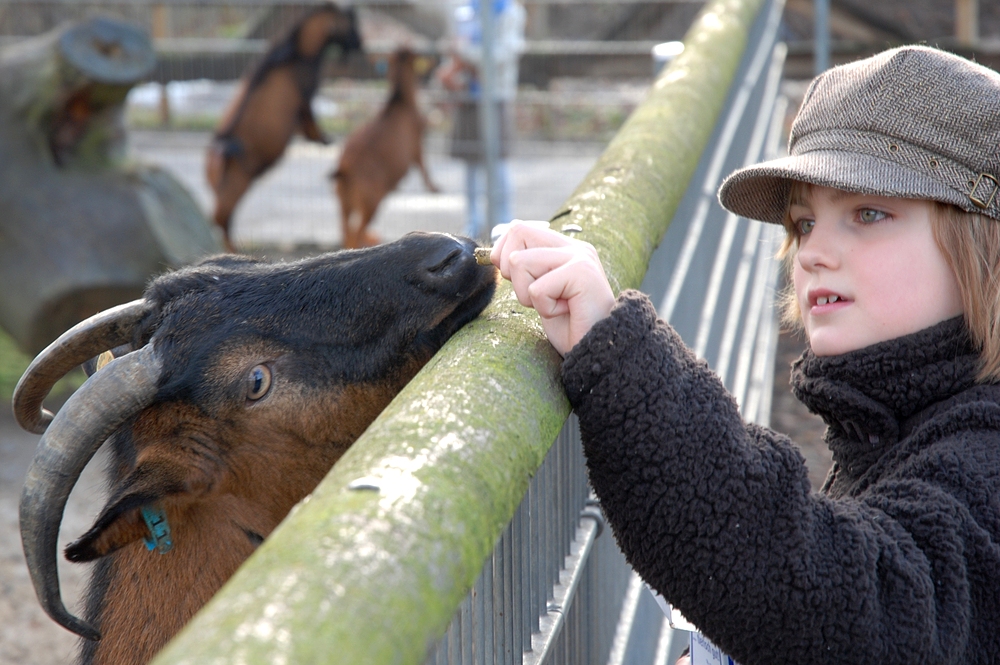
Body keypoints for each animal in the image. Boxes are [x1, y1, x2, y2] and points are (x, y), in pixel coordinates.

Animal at [205, 0, 362, 252]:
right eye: (350, 22)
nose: (359, 43)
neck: (298, 51)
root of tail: (217, 151)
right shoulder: (304, 96)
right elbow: (310, 120)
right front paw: (324, 139)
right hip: (234, 187)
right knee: (220, 219)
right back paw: (235, 249)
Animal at [332, 46, 438, 249]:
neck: (399, 101)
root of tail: (345, 168)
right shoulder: (417, 145)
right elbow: (423, 165)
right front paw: (435, 188)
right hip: (370, 201)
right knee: (356, 233)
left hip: (343, 203)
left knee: (347, 232)